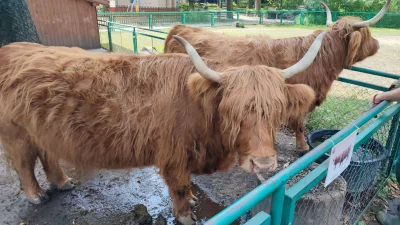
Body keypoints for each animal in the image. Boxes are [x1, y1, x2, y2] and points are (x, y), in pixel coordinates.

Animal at [0, 33, 326, 225]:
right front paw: (185, 215)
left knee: (47, 155)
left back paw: (63, 182)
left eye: (277, 110)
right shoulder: (173, 156)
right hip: (16, 133)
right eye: (232, 112)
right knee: (24, 163)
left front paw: (193, 201)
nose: (264, 164)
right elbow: (180, 186)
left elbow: (188, 186)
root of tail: (12, 48)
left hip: (42, 130)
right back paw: (36, 195)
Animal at [164, 0, 392, 154]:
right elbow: (299, 125)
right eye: (368, 33)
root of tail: (180, 27)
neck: (322, 58)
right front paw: (302, 147)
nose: (378, 45)